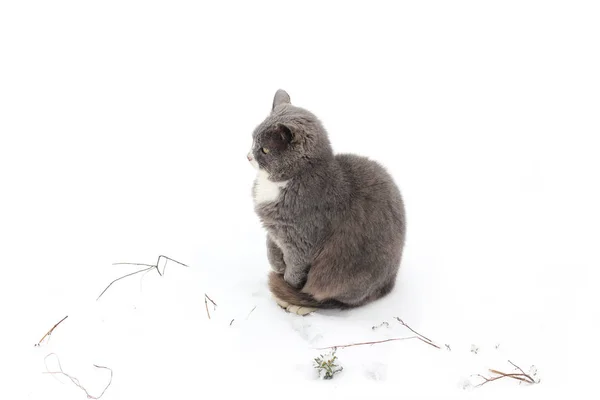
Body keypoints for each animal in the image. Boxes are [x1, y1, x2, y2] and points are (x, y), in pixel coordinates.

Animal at [246, 90, 406, 316]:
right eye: (252, 140)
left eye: (265, 150)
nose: (248, 156)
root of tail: (390, 282)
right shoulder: (274, 230)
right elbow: (271, 247)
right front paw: (276, 264)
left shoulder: (301, 242)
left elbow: (293, 273)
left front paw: (284, 288)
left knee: (335, 299)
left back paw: (299, 302)